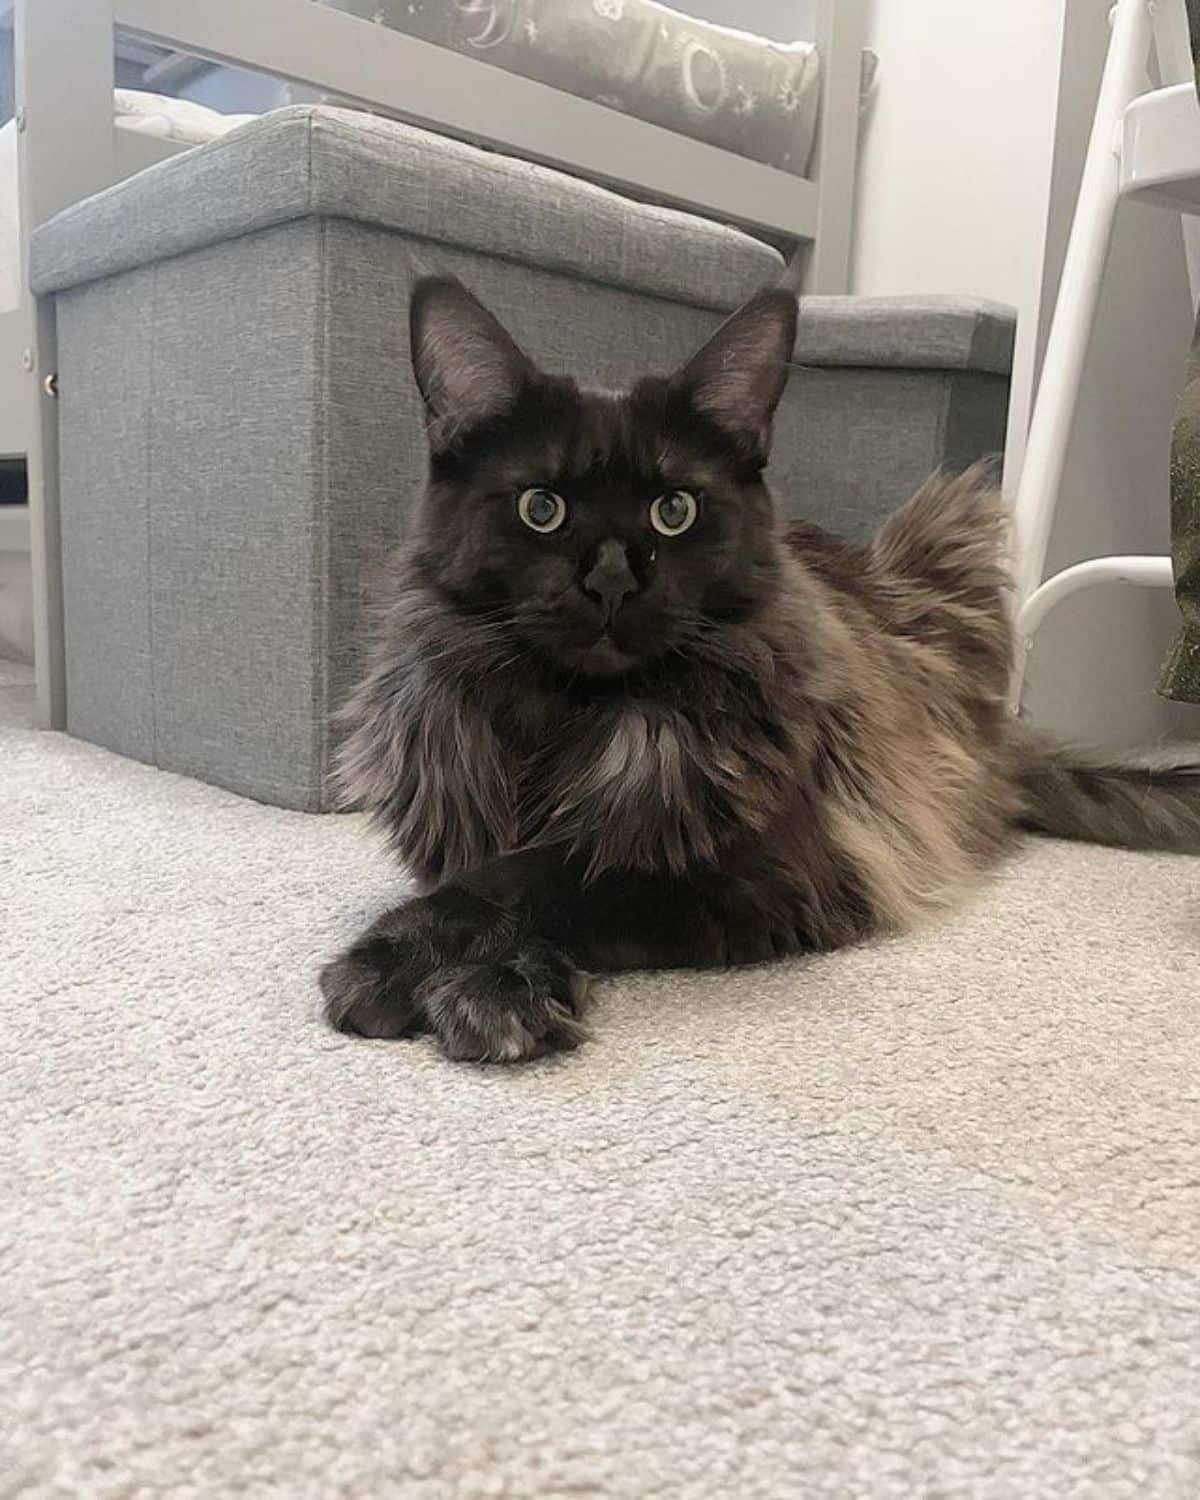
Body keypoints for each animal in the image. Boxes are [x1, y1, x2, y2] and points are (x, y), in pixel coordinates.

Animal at [318, 276, 1200, 1062]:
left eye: (675, 511)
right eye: (543, 508)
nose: (612, 582)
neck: (573, 719)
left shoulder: (782, 874)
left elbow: (553, 880)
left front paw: (461, 978)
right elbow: (492, 875)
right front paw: (450, 968)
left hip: (950, 542)